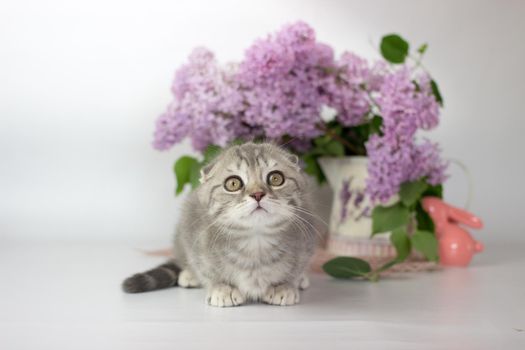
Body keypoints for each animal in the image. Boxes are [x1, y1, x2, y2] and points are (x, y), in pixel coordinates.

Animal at [122, 142, 316, 306]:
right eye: (233, 183)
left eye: (276, 178)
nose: (258, 194)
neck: (256, 242)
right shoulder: (196, 237)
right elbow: (208, 271)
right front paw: (223, 289)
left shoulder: (306, 241)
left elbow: (295, 268)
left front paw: (283, 286)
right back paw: (189, 275)